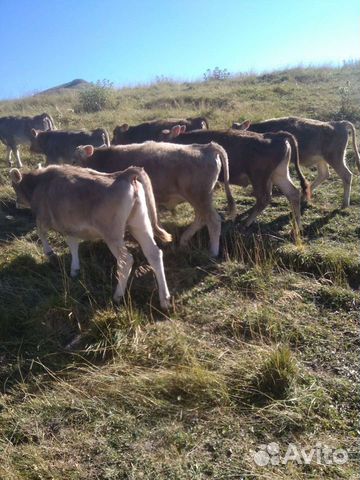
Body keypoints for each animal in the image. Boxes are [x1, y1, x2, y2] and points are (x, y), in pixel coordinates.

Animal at [9, 164, 171, 308]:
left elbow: (42, 234)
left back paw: (117, 296)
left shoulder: (43, 218)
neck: (39, 183)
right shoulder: (69, 227)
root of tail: (122, 174)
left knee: (126, 260)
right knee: (154, 254)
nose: (16, 204)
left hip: (112, 234)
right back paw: (165, 300)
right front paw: (75, 270)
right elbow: (73, 245)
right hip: (140, 225)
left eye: (14, 187)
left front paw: (51, 254)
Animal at [72, 141, 238, 256]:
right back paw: (184, 240)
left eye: (74, 161)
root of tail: (206, 147)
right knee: (201, 218)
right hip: (199, 199)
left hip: (200, 196)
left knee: (213, 220)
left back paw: (213, 251)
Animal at [160, 125, 310, 231]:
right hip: (279, 174)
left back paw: (246, 222)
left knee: (264, 198)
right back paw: (297, 226)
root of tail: (276, 135)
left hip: (259, 176)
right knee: (293, 193)